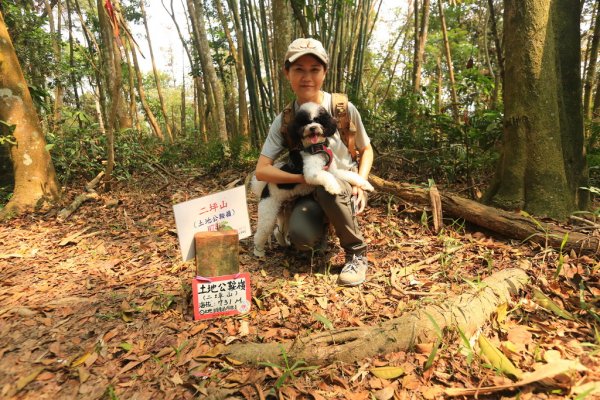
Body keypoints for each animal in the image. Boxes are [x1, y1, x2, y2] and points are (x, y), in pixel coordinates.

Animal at [251, 101, 372, 258]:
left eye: (318, 120)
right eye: (305, 122)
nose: (313, 127)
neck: (316, 148)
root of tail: (264, 187)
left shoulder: (334, 170)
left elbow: (348, 175)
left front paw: (366, 184)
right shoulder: (311, 173)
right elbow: (326, 176)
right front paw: (334, 187)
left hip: (284, 212)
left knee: (279, 231)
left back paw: (284, 244)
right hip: (268, 212)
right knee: (260, 233)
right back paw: (258, 252)